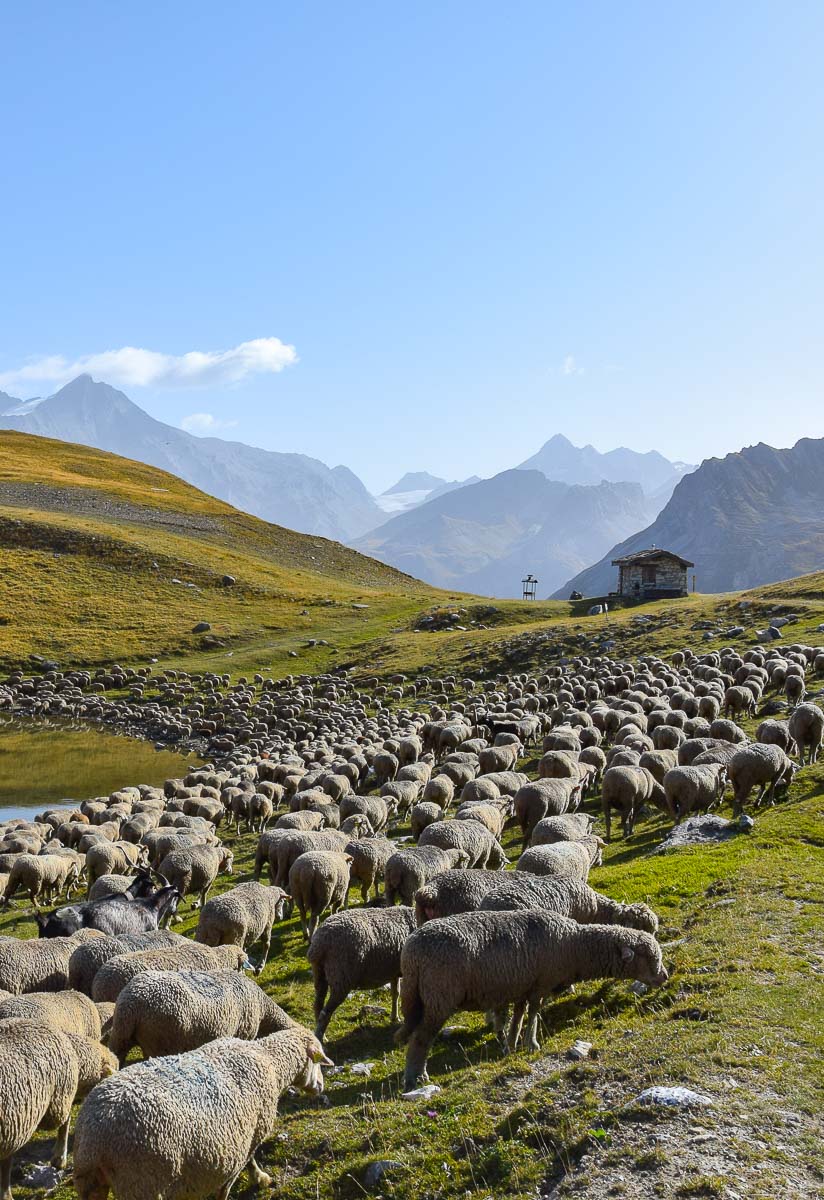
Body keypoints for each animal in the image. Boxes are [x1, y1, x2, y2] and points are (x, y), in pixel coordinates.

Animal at [72, 1027, 331, 1200]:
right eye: (317, 1062)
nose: (321, 1086)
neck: (271, 1063)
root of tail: (96, 1138)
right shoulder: (249, 1138)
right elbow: (233, 1179)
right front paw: (260, 1178)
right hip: (142, 1183)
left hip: (89, 1182)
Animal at [307, 907, 419, 1041]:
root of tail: (318, 943)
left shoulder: (394, 971)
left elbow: (395, 993)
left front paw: (394, 1017)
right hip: (341, 978)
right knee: (325, 1013)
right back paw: (321, 1039)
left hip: (320, 975)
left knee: (317, 1005)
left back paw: (320, 1037)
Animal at [395, 912, 666, 1094]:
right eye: (651, 957)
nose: (664, 976)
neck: (573, 946)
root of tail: (411, 953)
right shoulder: (541, 984)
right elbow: (534, 1012)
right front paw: (531, 1044)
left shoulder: (523, 986)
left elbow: (519, 1014)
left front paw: (512, 1044)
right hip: (439, 997)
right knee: (421, 1039)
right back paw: (415, 1078)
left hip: (419, 998)